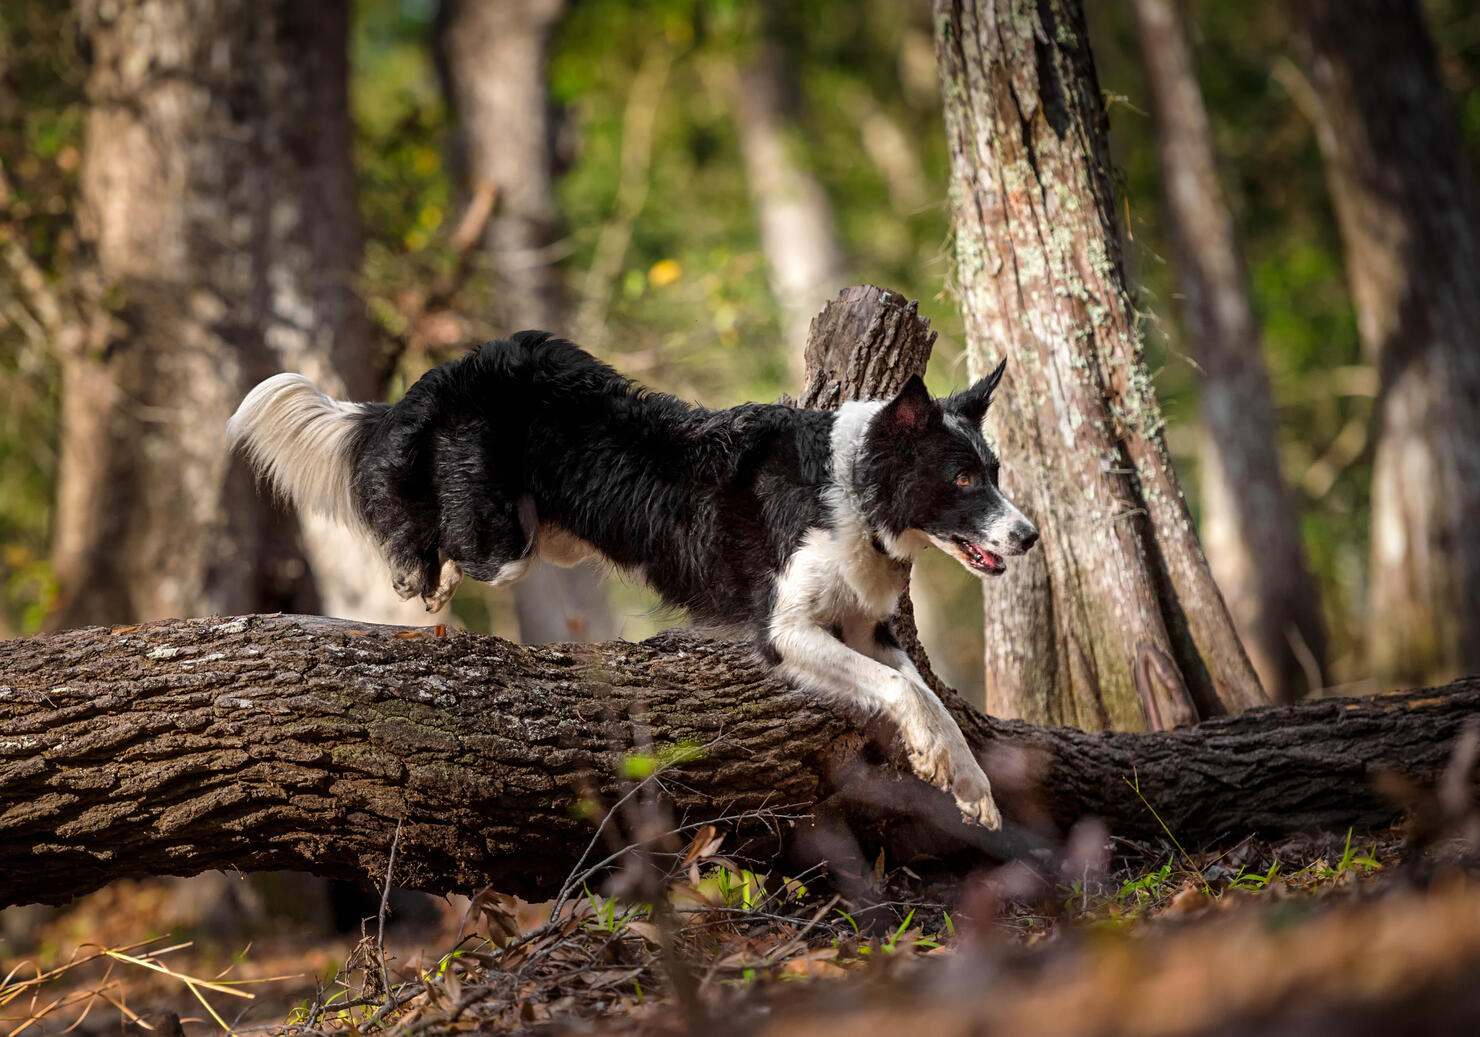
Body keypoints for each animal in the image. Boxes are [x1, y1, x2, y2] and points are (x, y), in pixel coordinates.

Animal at [230, 335, 1041, 828]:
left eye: (994, 471)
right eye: (962, 479)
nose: (1029, 535)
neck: (851, 486)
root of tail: (443, 376)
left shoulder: (864, 628)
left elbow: (926, 693)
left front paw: (970, 786)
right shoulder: (784, 631)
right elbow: (905, 690)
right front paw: (943, 764)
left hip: (546, 534)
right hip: (502, 537)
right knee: (436, 529)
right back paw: (419, 575)